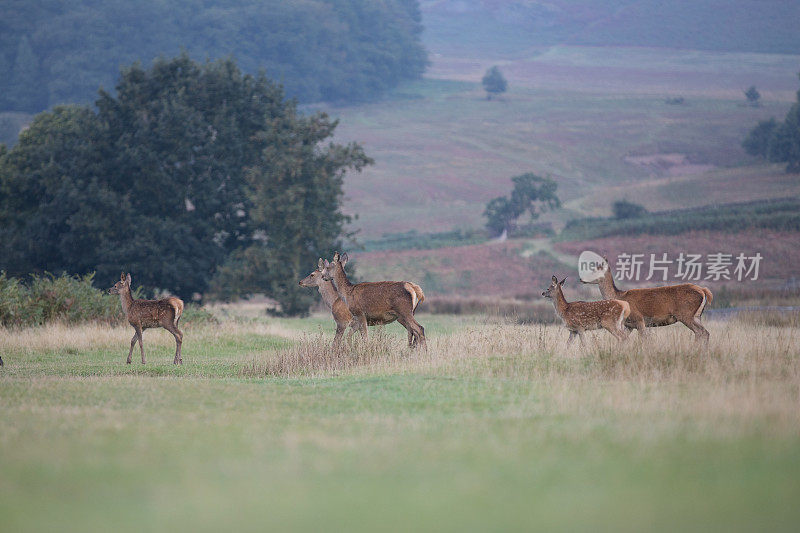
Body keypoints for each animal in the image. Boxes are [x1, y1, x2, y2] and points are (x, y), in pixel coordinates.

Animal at [580, 258, 712, 342]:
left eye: (596, 269)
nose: (581, 278)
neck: (619, 296)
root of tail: (703, 290)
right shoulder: (629, 325)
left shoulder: (639, 318)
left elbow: (644, 340)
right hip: (697, 315)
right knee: (704, 333)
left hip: (686, 314)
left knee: (701, 332)